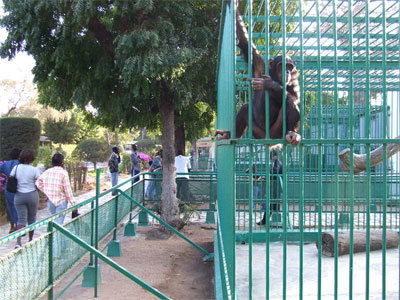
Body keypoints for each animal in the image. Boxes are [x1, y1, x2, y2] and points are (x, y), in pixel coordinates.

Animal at [216, 3, 300, 146]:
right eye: (283, 65)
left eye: (290, 66)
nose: (287, 71)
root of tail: (270, 142)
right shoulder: (260, 65)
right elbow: (246, 42)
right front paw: (232, 5)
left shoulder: (294, 80)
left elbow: (295, 97)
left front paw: (270, 84)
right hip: (258, 134)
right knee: (245, 108)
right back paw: (230, 135)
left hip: (276, 133)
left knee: (290, 100)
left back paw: (292, 133)